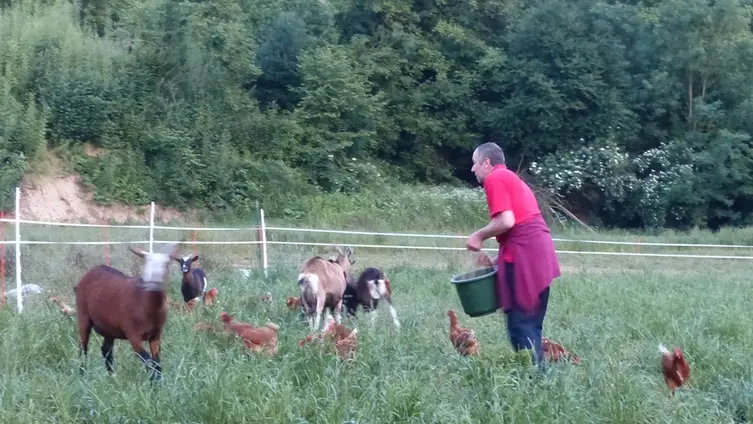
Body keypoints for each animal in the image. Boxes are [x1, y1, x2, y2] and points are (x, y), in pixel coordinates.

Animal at [73, 243, 180, 381]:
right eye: (146, 263)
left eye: (167, 264)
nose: (155, 282)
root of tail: (93, 269)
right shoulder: (133, 334)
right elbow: (148, 362)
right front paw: (152, 383)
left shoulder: (156, 335)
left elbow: (157, 363)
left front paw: (158, 383)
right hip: (83, 316)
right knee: (83, 347)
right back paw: (82, 375)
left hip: (109, 327)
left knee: (106, 350)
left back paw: (112, 377)